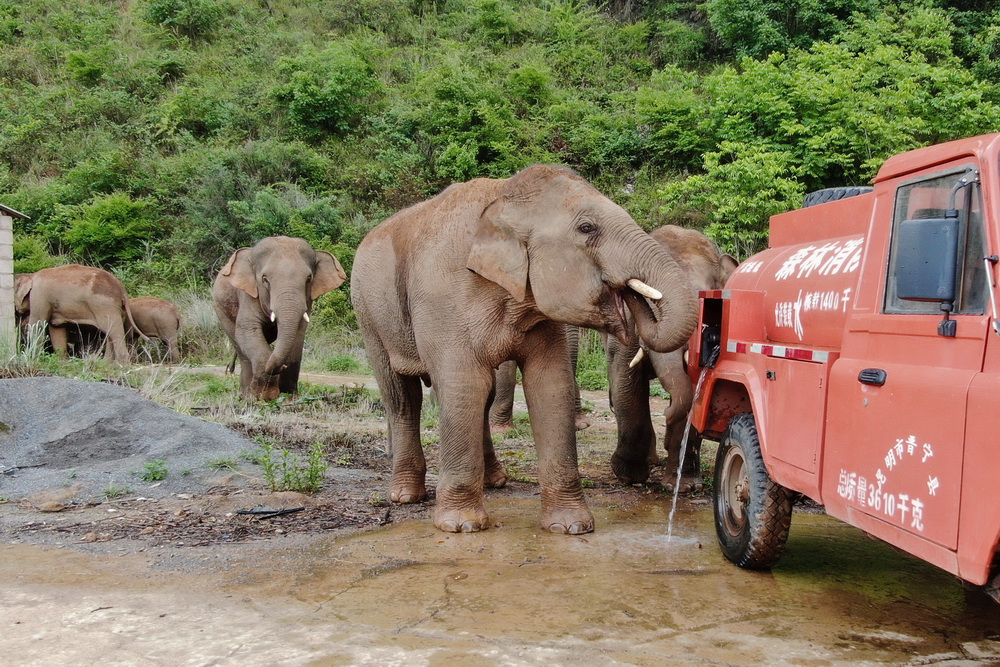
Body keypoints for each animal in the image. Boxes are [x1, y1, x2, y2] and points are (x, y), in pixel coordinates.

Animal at [13, 264, 141, 366]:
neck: (30, 275)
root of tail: (121, 289)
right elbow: (56, 329)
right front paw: (62, 363)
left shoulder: (39, 295)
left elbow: (37, 324)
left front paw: (34, 359)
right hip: (117, 309)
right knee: (110, 332)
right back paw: (106, 364)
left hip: (105, 306)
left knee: (114, 331)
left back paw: (122, 366)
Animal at [212, 236, 348, 400]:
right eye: (265, 279)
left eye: (309, 278)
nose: (281, 366)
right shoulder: (248, 294)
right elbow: (247, 330)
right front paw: (264, 396)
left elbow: (298, 337)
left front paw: (288, 398)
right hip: (220, 309)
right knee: (240, 347)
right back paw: (246, 397)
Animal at [356, 164, 700, 536]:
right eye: (587, 228)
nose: (631, 293)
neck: (503, 197)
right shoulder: (443, 297)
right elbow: (464, 386)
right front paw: (461, 526)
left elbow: (549, 385)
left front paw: (572, 528)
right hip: (369, 312)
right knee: (402, 397)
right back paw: (406, 496)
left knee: (483, 395)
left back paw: (494, 482)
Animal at [604, 227, 740, 494]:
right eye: (645, 301)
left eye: (704, 304)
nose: (665, 412)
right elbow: (626, 378)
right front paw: (630, 477)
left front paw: (684, 486)